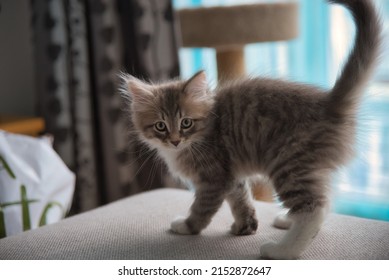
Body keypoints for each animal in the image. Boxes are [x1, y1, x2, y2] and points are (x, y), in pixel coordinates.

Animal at [120, 0, 378, 260]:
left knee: (313, 208)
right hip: (307, 168)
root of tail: (329, 102)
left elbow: (202, 209)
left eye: (186, 123)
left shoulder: (213, 179)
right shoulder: (231, 176)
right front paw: (245, 226)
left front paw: (186, 225)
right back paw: (288, 220)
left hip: (288, 163)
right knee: (323, 200)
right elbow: (241, 200)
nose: (174, 141)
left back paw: (282, 249)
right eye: (161, 126)